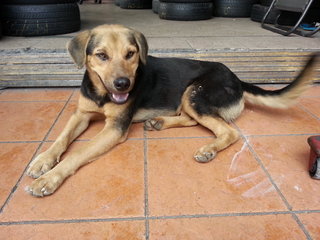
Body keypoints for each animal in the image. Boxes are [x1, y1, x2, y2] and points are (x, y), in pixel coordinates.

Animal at [26, 24, 318, 197]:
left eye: (130, 54)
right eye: (101, 55)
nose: (123, 84)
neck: (101, 94)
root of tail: (236, 77)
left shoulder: (114, 129)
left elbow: (78, 153)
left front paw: (50, 178)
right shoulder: (81, 114)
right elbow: (61, 138)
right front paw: (43, 161)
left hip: (195, 93)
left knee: (228, 131)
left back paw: (208, 149)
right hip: (189, 98)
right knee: (191, 120)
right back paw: (158, 122)